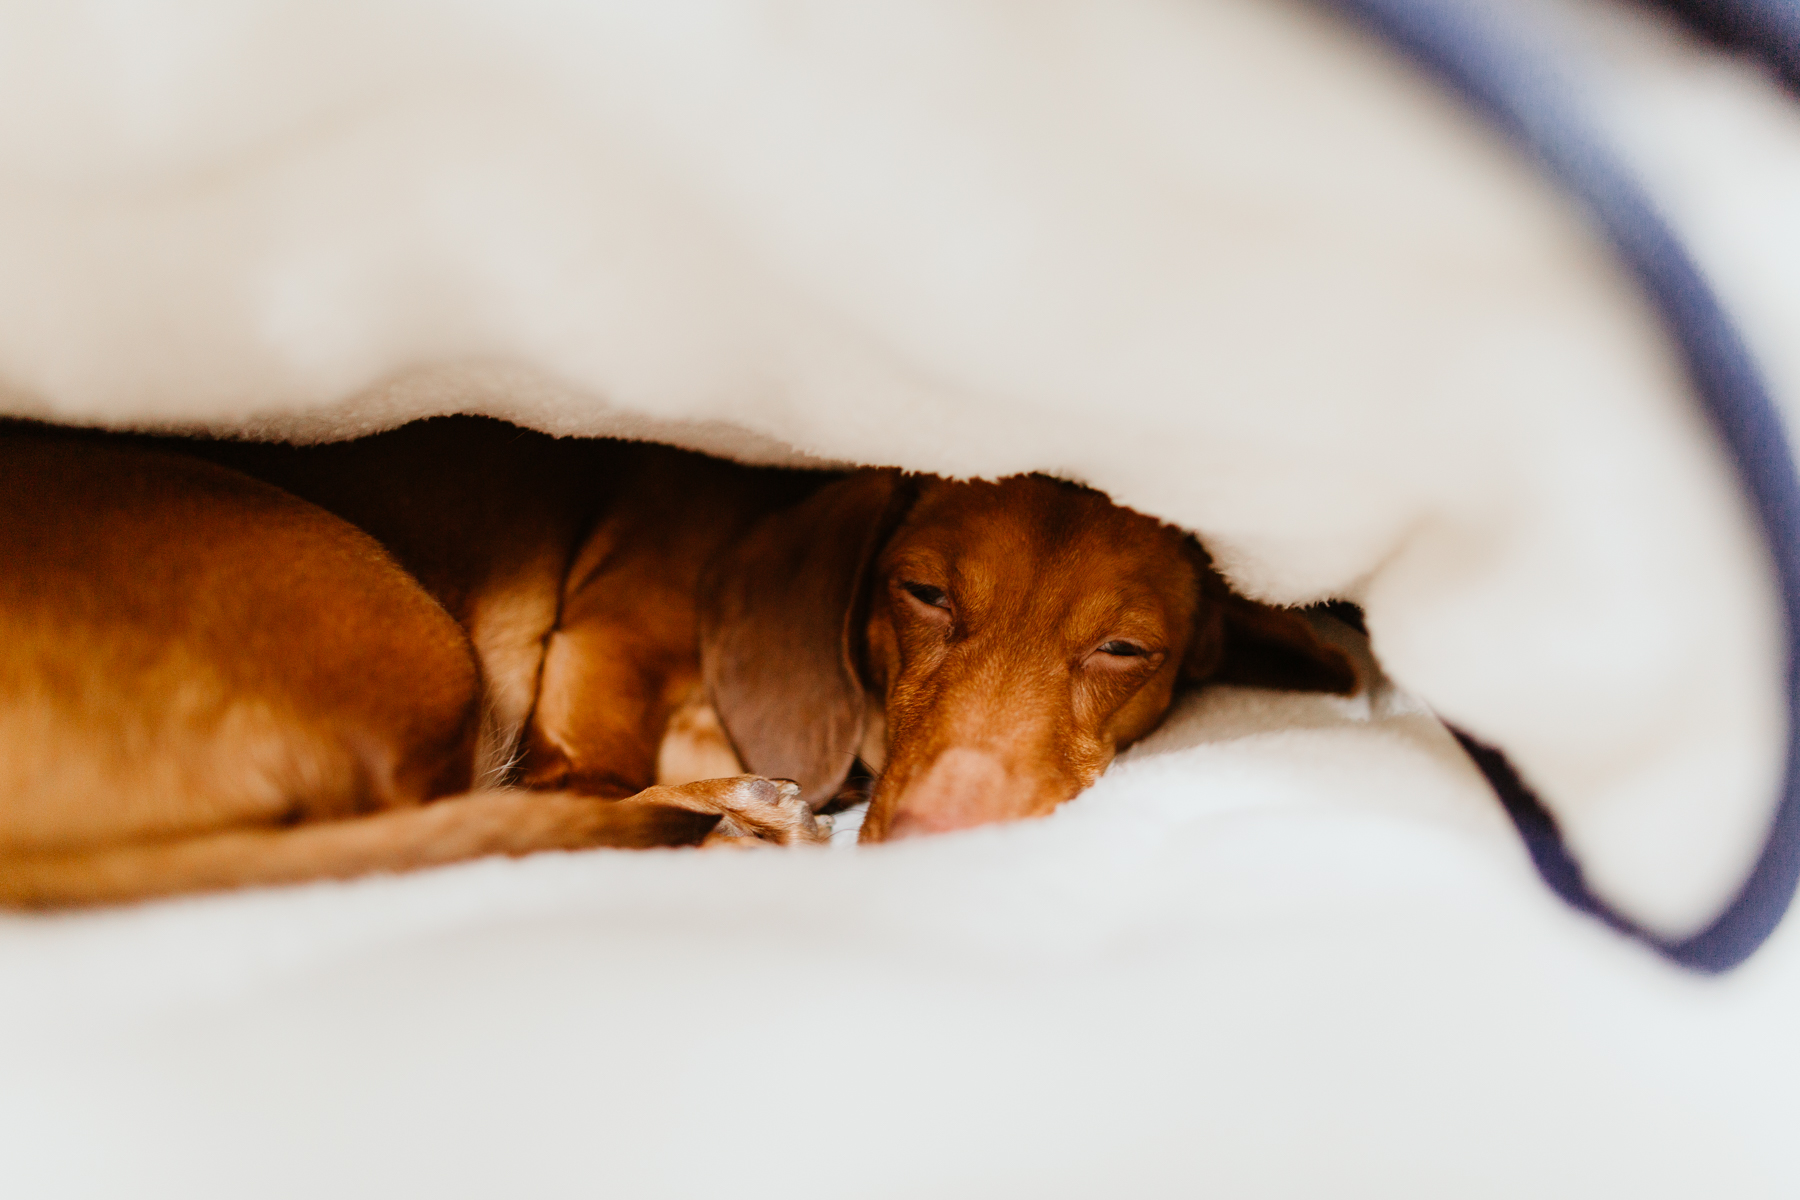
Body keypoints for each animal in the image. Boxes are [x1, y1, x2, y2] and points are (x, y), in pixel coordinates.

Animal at [0, 417, 1353, 906]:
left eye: (1126, 648)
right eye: (923, 592)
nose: (940, 842)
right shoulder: (604, 642)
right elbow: (582, 775)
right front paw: (718, 800)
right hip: (402, 633)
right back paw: (726, 815)